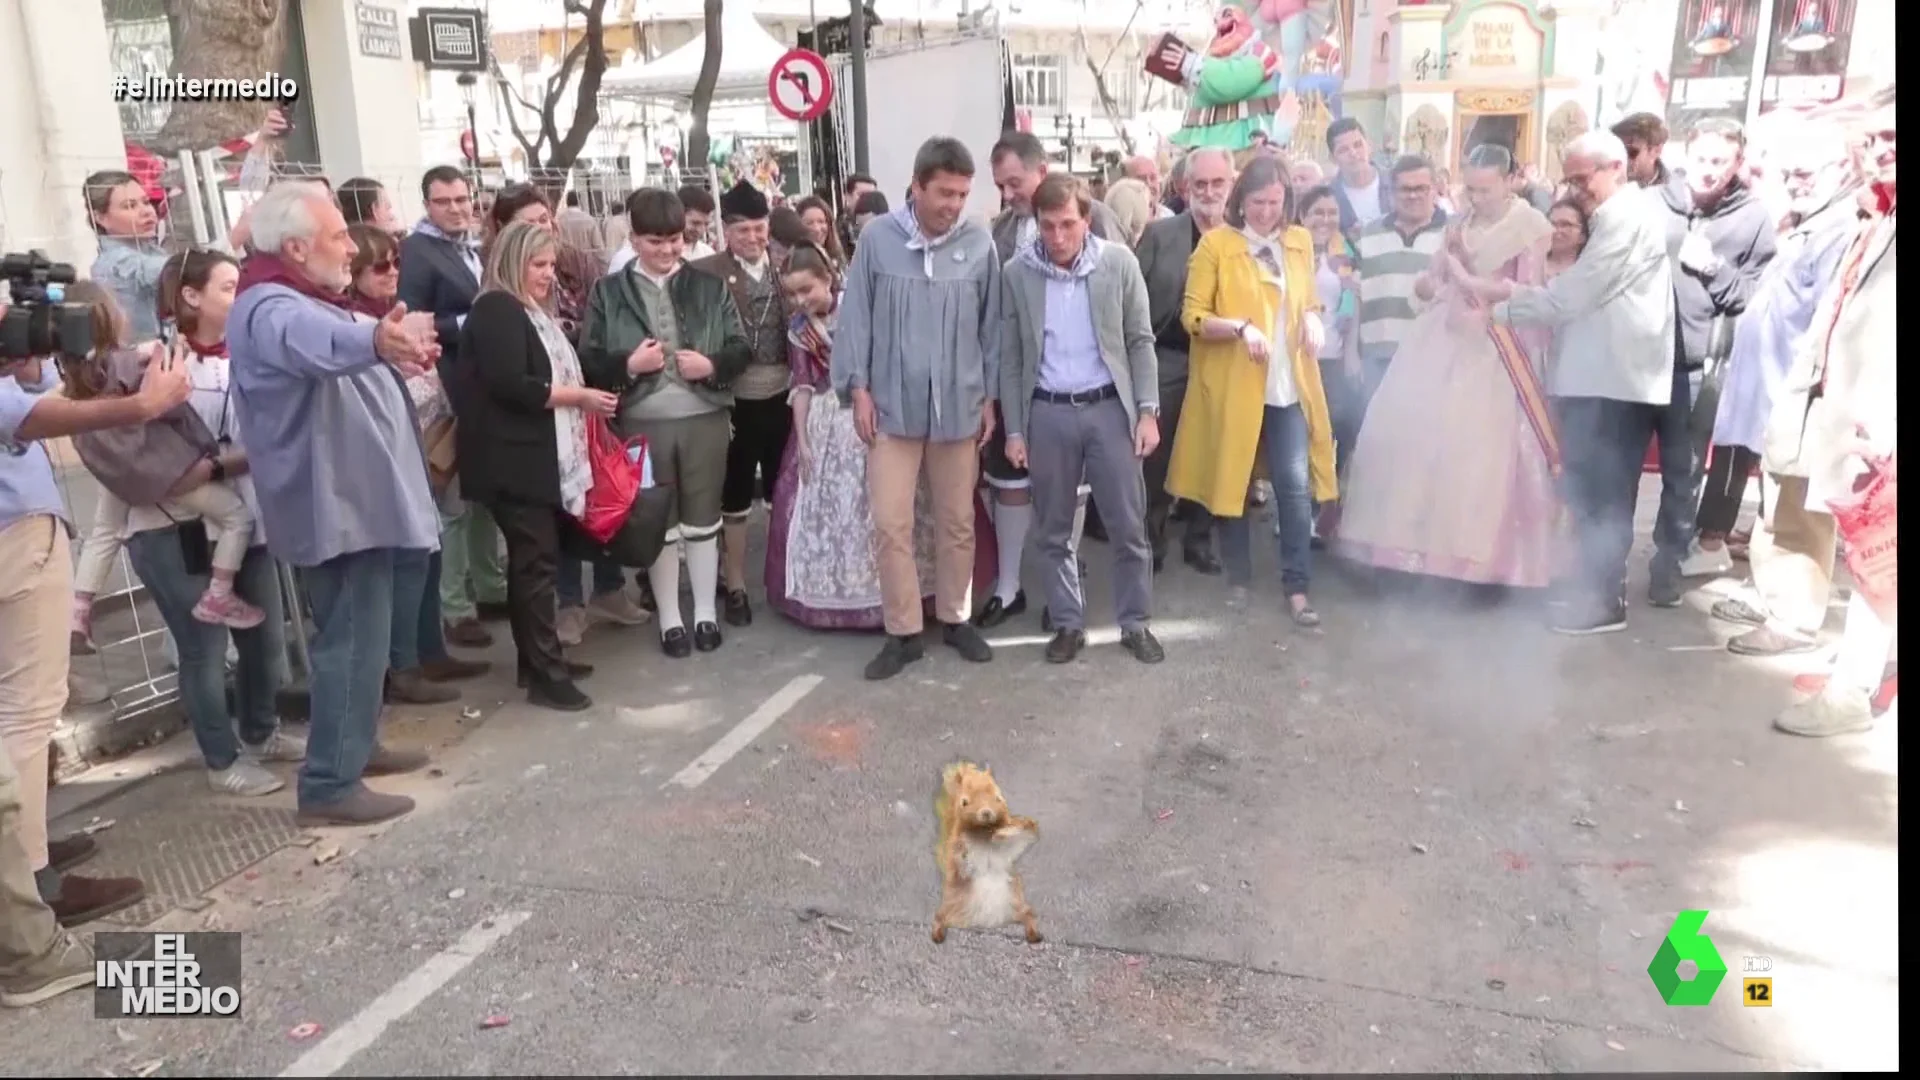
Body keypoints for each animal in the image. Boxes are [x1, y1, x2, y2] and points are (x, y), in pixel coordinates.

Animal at [925, 757, 1036, 941]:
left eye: (999, 798)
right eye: (964, 802)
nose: (986, 812)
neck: (983, 833)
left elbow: (1027, 830)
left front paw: (1004, 832)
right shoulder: (956, 844)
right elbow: (958, 860)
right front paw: (964, 858)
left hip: (1016, 899)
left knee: (1028, 915)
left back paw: (1034, 934)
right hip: (952, 902)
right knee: (940, 917)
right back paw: (937, 933)